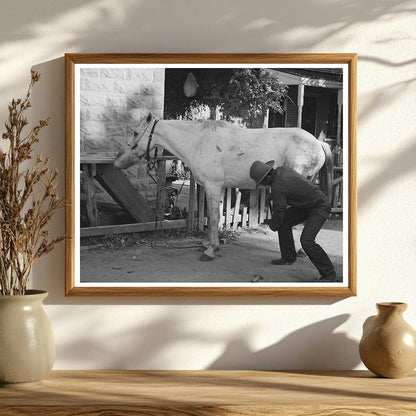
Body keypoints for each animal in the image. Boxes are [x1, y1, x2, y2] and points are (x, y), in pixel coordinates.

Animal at [113, 112, 332, 258]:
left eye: (135, 132)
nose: (117, 161)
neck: (198, 142)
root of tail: (318, 142)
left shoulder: (213, 187)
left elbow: (215, 217)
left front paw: (211, 249)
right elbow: (213, 217)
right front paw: (210, 244)